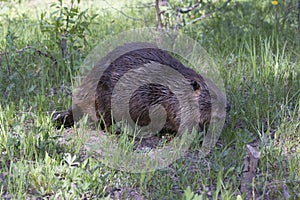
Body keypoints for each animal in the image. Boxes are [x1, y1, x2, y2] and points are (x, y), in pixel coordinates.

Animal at [52, 43, 230, 135]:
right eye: (213, 96)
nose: (228, 107)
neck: (177, 88)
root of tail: (77, 104)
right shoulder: (174, 104)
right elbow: (182, 124)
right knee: (104, 120)